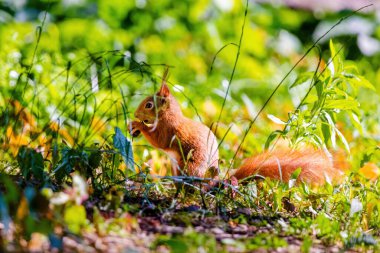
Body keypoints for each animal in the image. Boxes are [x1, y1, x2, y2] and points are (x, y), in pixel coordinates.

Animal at [130, 72, 344, 185]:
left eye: (149, 105)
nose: (135, 114)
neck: (169, 116)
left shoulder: (168, 130)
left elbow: (159, 140)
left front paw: (137, 125)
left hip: (191, 164)